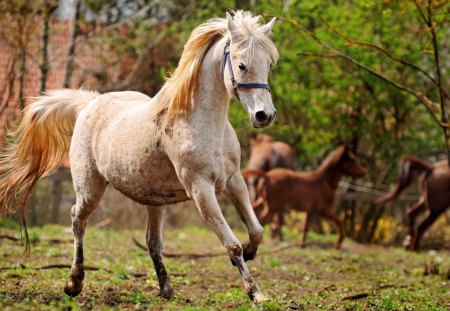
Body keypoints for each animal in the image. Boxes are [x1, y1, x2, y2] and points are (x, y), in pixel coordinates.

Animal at [0, 12, 280, 304]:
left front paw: (251, 252)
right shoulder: (201, 189)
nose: (264, 115)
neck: (200, 122)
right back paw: (73, 283)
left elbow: (257, 230)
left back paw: (166, 290)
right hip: (90, 190)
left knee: (152, 241)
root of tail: (89, 104)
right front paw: (255, 293)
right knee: (78, 220)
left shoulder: (234, 181)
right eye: (241, 65)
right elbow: (232, 245)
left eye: (269, 63)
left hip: (154, 201)